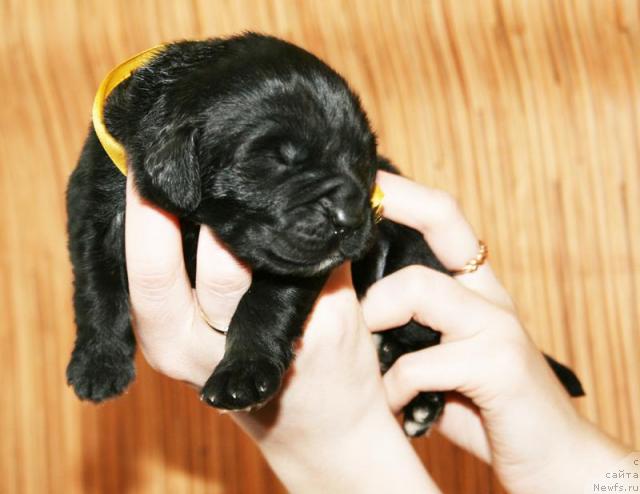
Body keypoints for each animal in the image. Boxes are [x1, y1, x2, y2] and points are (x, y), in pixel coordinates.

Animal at [67, 32, 584, 436]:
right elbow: (98, 290)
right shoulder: (96, 211)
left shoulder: (293, 263)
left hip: (415, 264)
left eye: (362, 160)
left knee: (427, 343)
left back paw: (419, 398)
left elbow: (265, 303)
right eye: (275, 161)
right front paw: (99, 362)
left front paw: (243, 372)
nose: (352, 216)